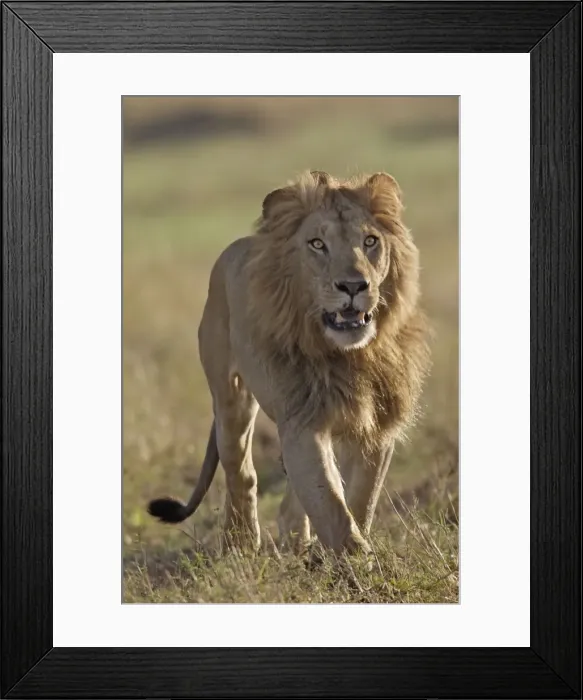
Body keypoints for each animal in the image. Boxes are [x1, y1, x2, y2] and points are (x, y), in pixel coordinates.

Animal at [148, 170, 430, 557]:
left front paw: (343, 554)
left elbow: (360, 498)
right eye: (317, 244)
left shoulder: (378, 422)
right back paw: (240, 543)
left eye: (371, 241)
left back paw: (296, 544)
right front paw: (356, 562)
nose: (354, 286)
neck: (347, 355)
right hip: (230, 398)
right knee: (241, 471)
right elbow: (330, 503)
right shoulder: (301, 420)